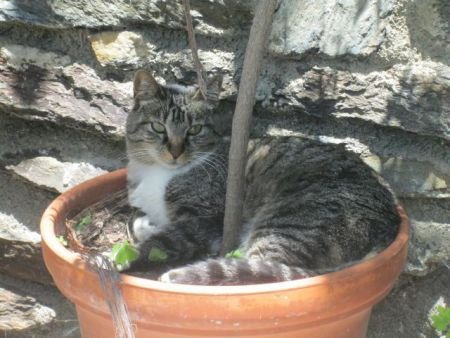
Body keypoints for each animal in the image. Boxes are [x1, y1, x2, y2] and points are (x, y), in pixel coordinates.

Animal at [121, 69, 400, 286]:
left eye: (195, 129)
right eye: (158, 127)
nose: (176, 152)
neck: (157, 173)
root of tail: (391, 222)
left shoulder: (206, 219)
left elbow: (162, 241)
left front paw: (123, 258)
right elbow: (142, 223)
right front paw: (146, 224)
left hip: (290, 220)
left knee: (263, 273)